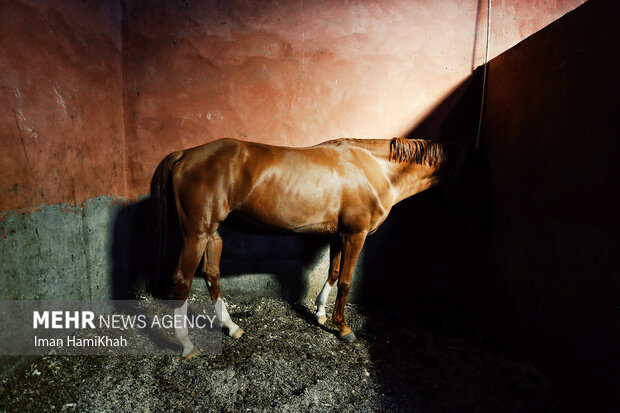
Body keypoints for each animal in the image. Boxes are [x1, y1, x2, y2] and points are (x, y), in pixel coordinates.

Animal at [151, 137, 470, 356]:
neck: (372, 169)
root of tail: (185, 154)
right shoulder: (355, 235)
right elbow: (346, 280)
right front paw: (343, 327)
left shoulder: (338, 235)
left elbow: (333, 273)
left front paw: (320, 313)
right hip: (197, 234)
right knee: (182, 280)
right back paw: (186, 344)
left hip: (212, 234)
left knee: (211, 275)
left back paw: (231, 327)